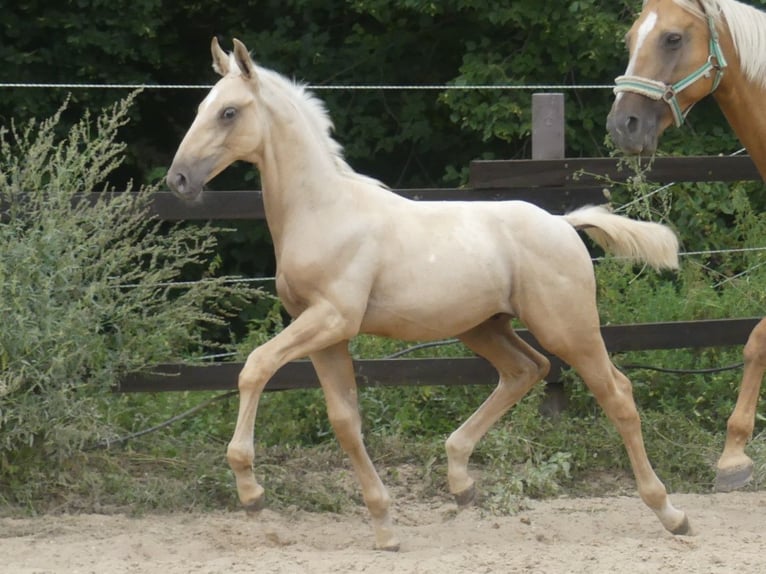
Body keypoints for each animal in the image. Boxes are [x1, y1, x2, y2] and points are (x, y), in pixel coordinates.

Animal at [170, 38, 688, 552]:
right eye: (200, 108)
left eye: (229, 112)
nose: (178, 180)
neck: (324, 211)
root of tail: (563, 223)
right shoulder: (324, 334)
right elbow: (345, 421)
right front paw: (384, 526)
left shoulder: (332, 318)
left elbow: (255, 367)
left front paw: (251, 492)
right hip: (483, 328)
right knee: (526, 370)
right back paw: (461, 481)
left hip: (568, 327)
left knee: (616, 393)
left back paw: (671, 513)